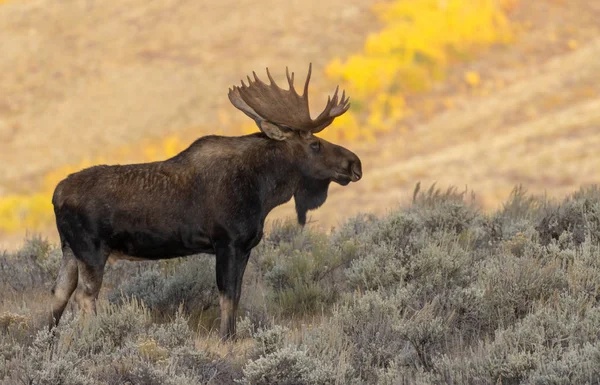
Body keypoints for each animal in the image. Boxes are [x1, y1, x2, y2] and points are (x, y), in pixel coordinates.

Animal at [48, 64, 360, 338]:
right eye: (315, 144)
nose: (355, 163)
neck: (264, 190)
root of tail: (56, 195)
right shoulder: (227, 242)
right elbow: (227, 296)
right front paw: (226, 338)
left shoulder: (245, 247)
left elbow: (236, 295)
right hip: (91, 250)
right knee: (85, 297)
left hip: (70, 250)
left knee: (58, 294)